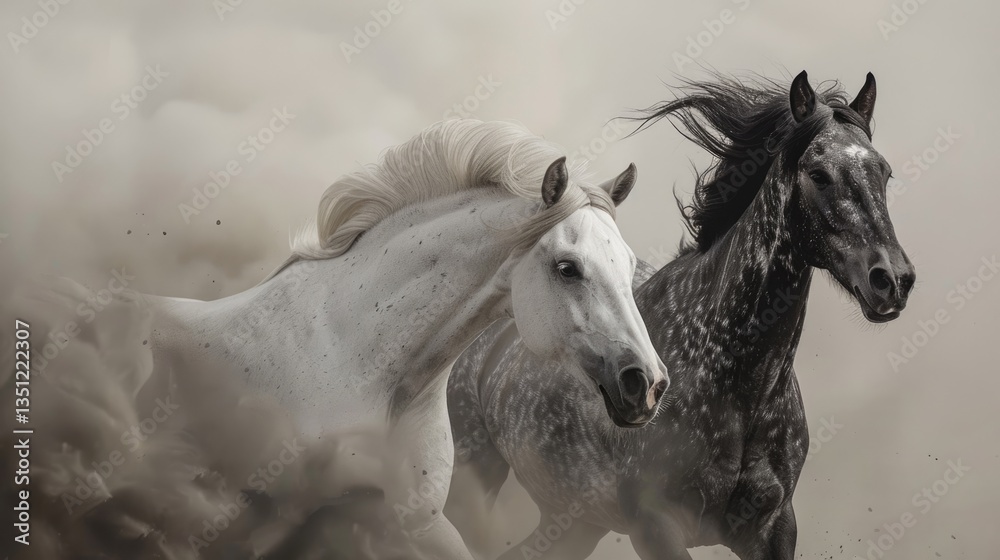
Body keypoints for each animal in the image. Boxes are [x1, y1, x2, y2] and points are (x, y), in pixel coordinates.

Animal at [445, 72, 915, 560]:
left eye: (883, 172)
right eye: (819, 174)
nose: (893, 280)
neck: (739, 387)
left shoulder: (773, 525)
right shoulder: (653, 524)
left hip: (575, 523)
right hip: (474, 475)